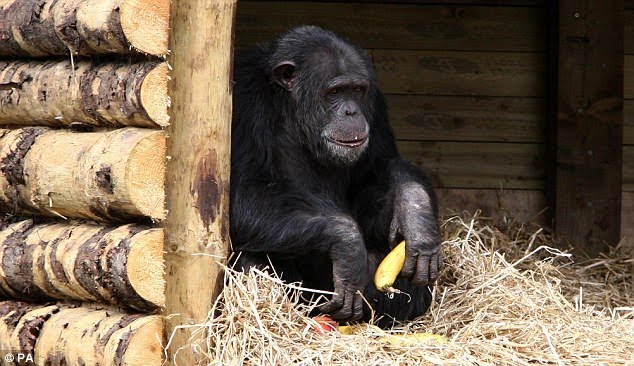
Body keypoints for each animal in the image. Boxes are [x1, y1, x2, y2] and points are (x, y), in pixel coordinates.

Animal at [230, 26, 442, 326]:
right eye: (335, 92)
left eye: (357, 90)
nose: (351, 111)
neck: (289, 109)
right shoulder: (243, 101)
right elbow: (242, 195)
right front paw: (348, 244)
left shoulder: (374, 102)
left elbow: (373, 177)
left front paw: (415, 212)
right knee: (252, 260)